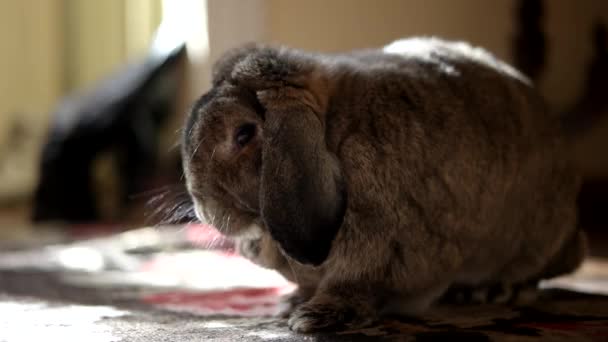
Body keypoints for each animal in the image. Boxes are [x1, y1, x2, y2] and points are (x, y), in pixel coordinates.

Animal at [179, 36, 584, 332]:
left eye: (244, 134)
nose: (204, 209)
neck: (333, 133)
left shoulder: (380, 251)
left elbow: (354, 286)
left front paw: (313, 318)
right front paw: (291, 302)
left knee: (532, 278)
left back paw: (490, 291)